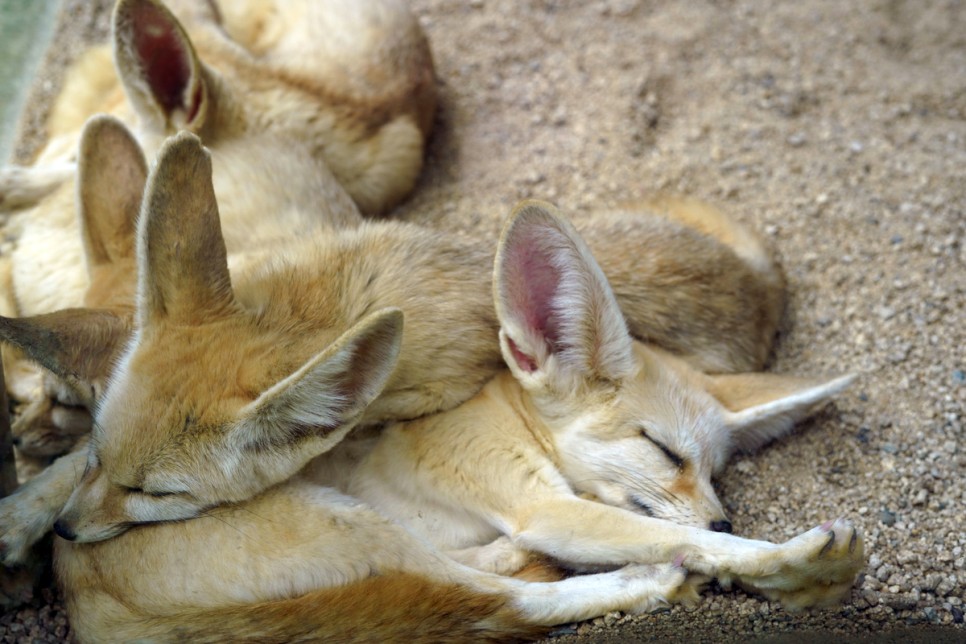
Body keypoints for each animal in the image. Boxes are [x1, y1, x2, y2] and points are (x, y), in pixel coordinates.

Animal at [53, 310, 696, 640]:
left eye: (96, 460)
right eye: (664, 451)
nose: (60, 529)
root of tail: (85, 601)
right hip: (347, 522)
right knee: (500, 601)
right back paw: (644, 580)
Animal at [338, 204, 864, 612]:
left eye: (715, 470)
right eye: (665, 451)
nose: (724, 520)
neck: (514, 423)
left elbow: (689, 545)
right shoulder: (541, 506)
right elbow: (696, 542)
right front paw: (795, 559)